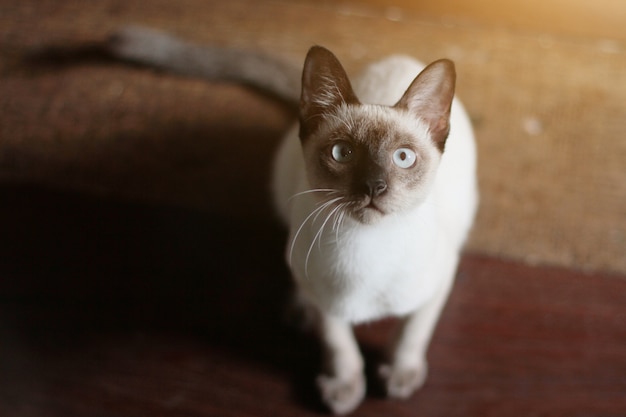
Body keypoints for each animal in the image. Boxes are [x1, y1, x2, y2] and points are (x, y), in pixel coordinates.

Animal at [108, 26, 478, 412]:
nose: (373, 187)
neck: (365, 250)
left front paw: (399, 377)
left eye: (403, 157)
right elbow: (338, 343)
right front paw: (343, 389)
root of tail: (401, 57)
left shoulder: (439, 284)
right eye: (342, 153)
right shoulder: (326, 302)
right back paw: (299, 311)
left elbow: (412, 333)